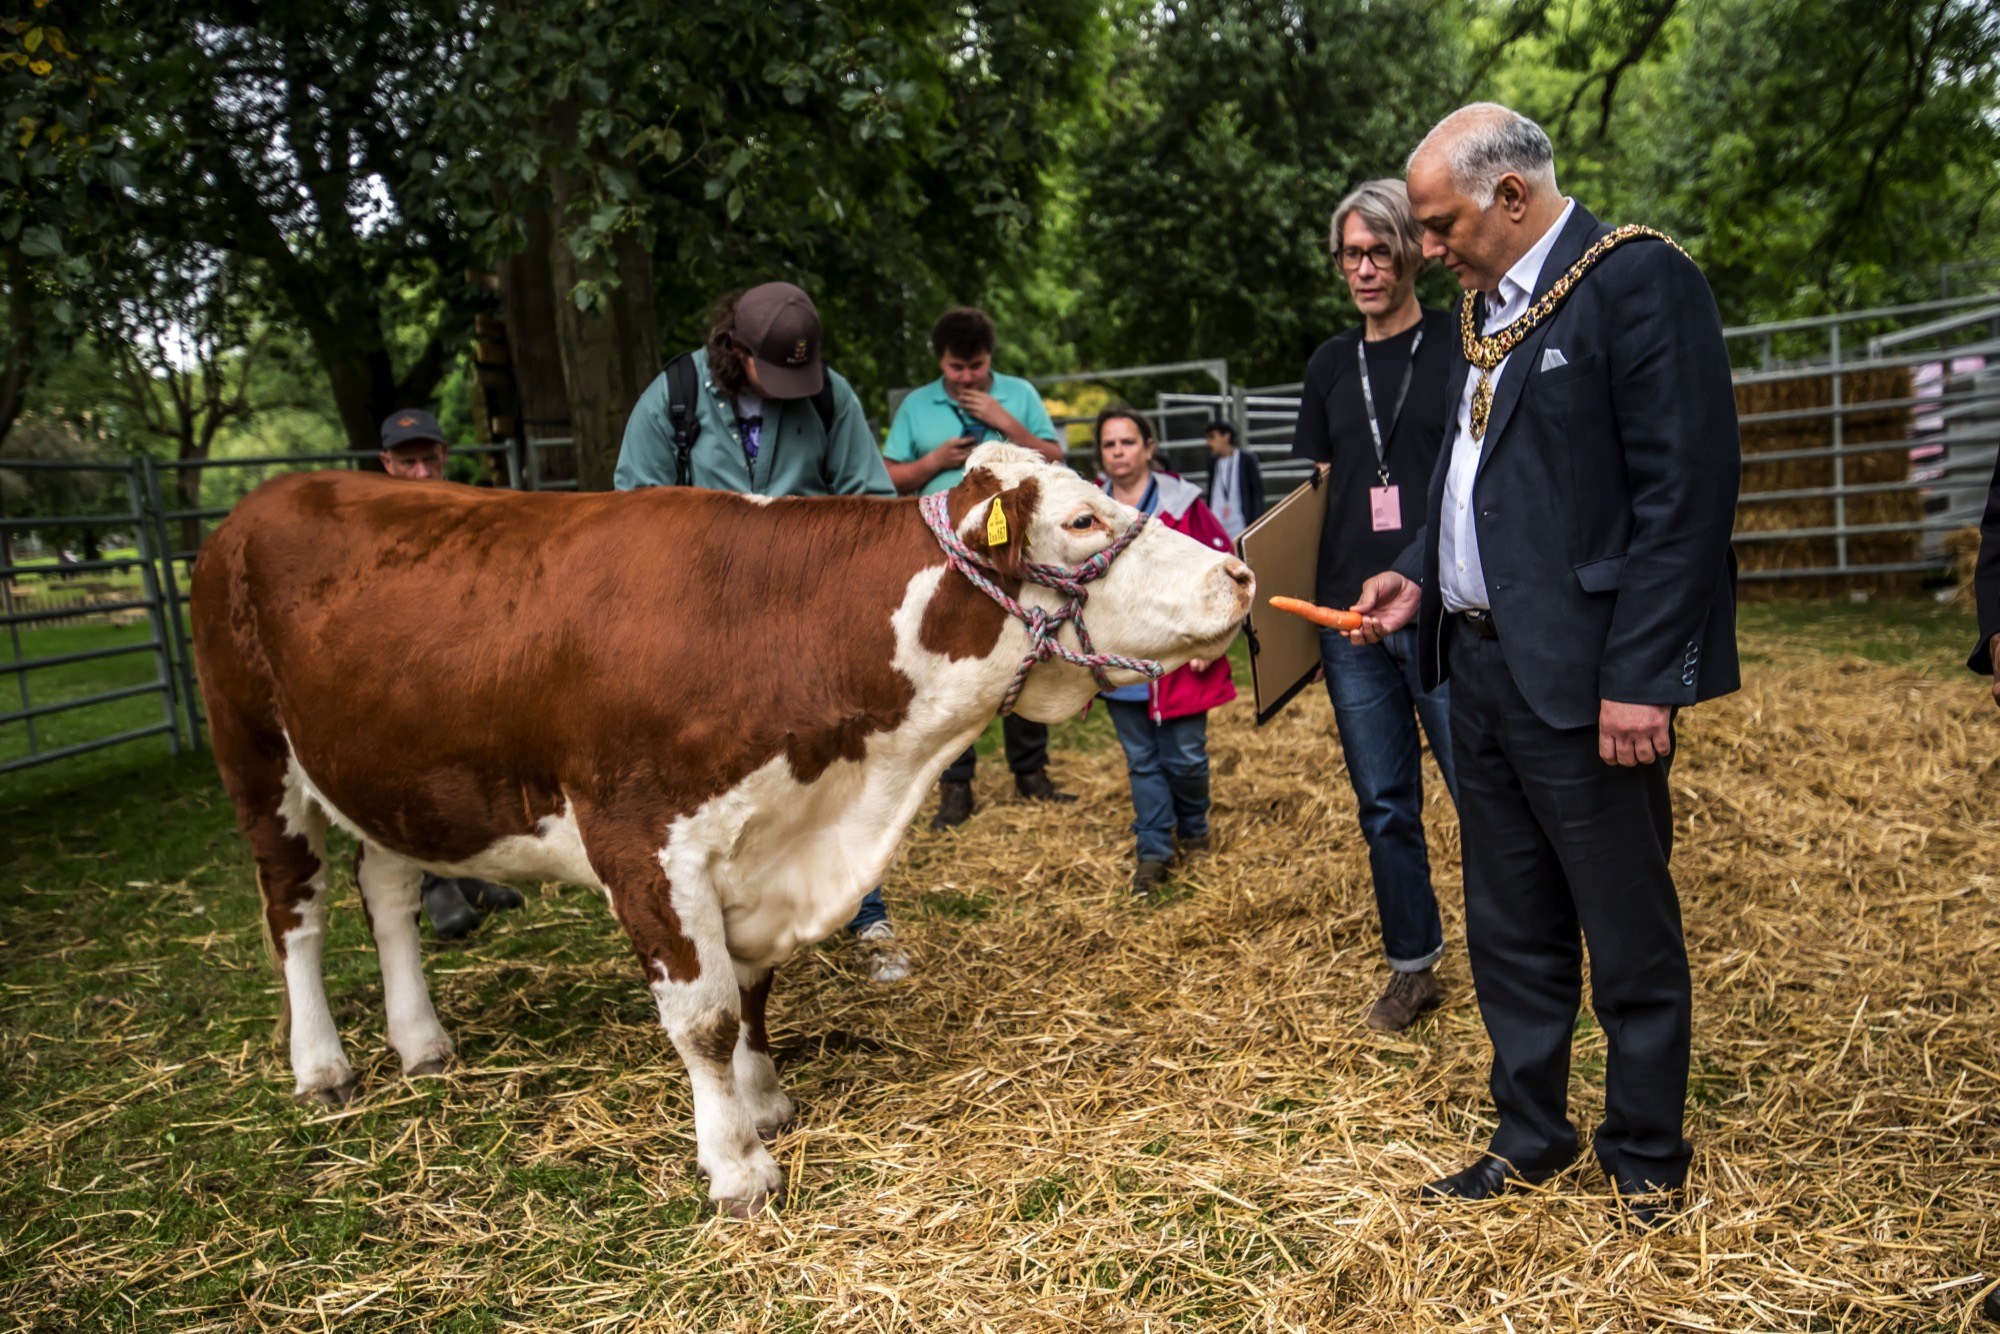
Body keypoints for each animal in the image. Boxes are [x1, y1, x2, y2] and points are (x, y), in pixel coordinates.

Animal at [188, 444, 1248, 1216]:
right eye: (1081, 520)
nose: (1237, 570)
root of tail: (262, 500)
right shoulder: (645, 846)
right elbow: (702, 1015)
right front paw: (737, 1166)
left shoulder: (760, 847)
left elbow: (752, 993)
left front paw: (765, 1101)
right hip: (255, 756)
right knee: (295, 911)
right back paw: (322, 1064)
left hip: (387, 774)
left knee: (390, 893)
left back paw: (422, 1042)